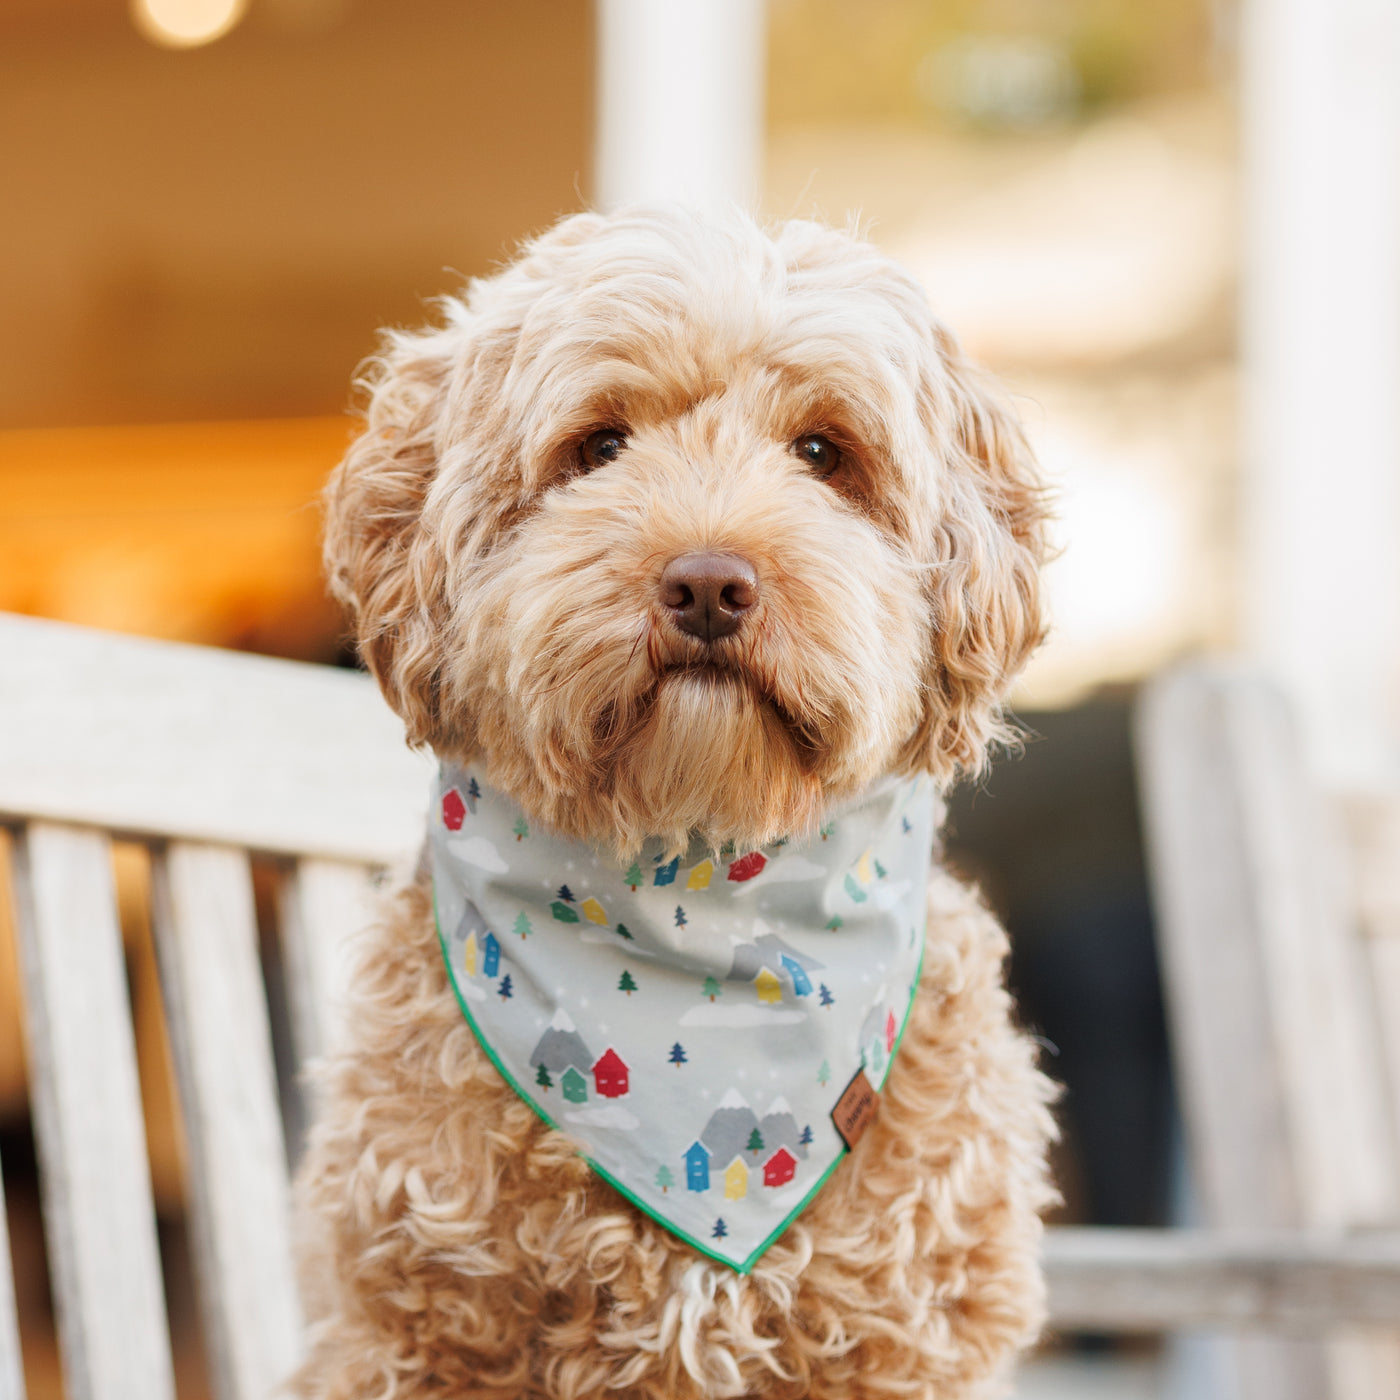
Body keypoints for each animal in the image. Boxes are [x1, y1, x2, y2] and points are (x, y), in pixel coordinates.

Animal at [298, 207, 1058, 1400]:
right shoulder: (412, 1330)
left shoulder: (904, 1337)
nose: (707, 582)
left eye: (822, 453)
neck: (699, 876)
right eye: (599, 445)